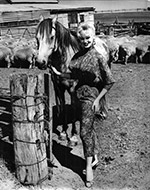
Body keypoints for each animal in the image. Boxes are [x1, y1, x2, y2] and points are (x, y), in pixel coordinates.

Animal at [35, 17, 112, 145]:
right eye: (37, 38)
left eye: (51, 37)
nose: (40, 62)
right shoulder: (59, 89)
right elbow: (63, 109)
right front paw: (63, 133)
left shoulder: (72, 89)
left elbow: (74, 108)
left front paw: (73, 136)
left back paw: (102, 113)